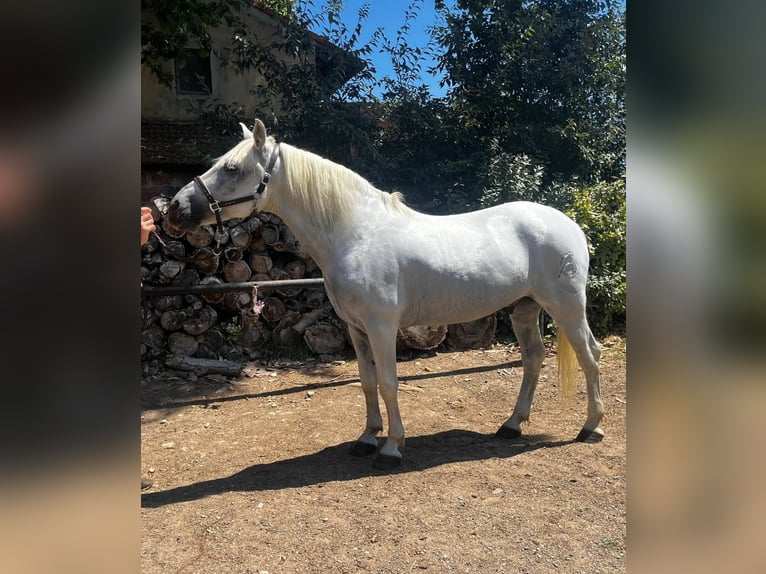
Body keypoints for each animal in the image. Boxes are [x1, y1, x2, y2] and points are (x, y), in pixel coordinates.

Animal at [168, 119, 608, 470]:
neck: (357, 234)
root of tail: (570, 225)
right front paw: (367, 439)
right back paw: (512, 425)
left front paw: (392, 448)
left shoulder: (382, 327)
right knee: (533, 359)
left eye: (232, 168)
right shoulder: (356, 329)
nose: (174, 209)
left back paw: (590, 427)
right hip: (524, 309)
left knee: (590, 356)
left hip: (567, 307)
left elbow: (389, 382)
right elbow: (366, 382)